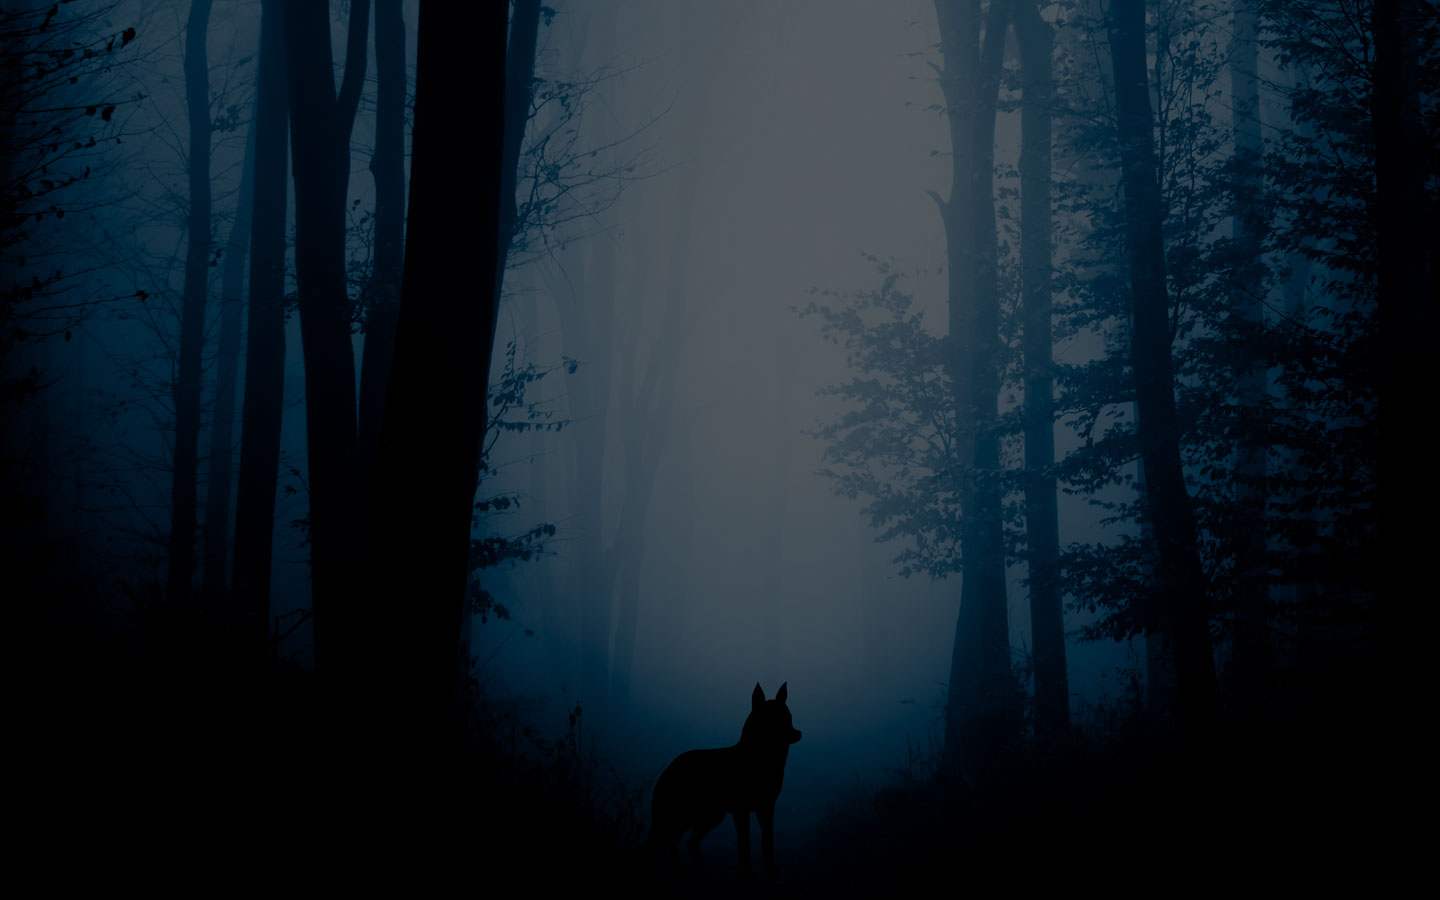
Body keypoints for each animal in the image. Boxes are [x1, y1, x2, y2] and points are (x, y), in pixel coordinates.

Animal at [649, 682, 802, 877]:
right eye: (775, 719)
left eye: (789, 717)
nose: (798, 734)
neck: (759, 758)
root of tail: (670, 766)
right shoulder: (741, 811)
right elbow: (744, 844)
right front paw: (748, 872)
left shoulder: (766, 808)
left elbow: (768, 842)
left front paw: (770, 869)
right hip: (685, 815)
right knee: (665, 843)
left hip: (709, 816)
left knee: (684, 843)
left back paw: (697, 871)